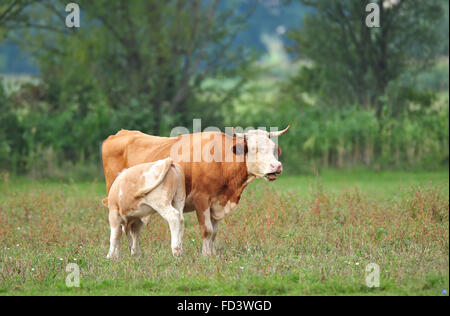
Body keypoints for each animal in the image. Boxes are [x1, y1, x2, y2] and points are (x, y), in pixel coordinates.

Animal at [101, 124, 290, 256]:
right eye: (254, 149)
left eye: (273, 148)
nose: (277, 166)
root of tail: (122, 133)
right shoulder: (202, 199)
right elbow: (207, 230)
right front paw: (205, 255)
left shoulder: (216, 203)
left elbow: (214, 232)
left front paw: (212, 254)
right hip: (118, 202)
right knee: (121, 228)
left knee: (133, 228)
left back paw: (135, 254)